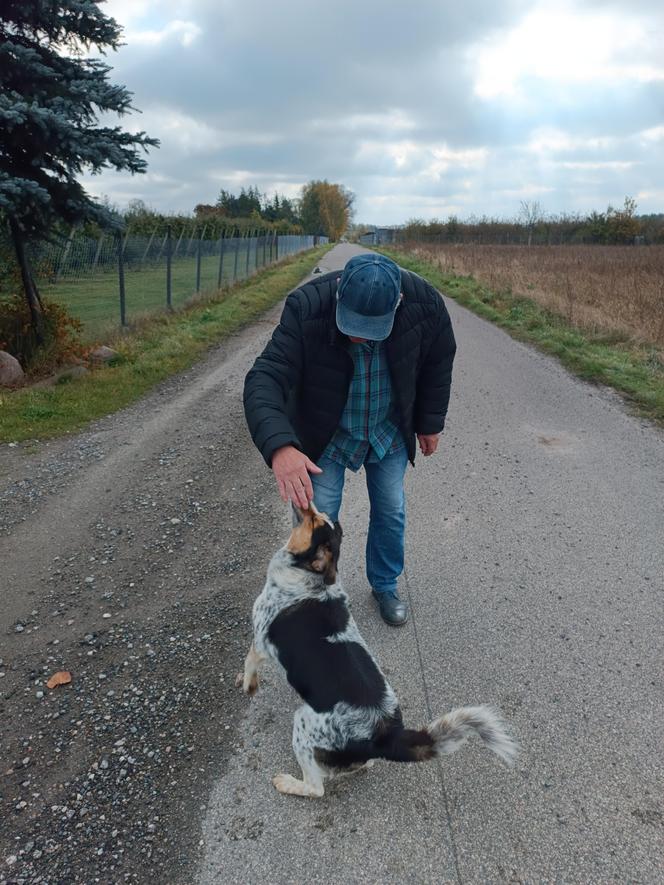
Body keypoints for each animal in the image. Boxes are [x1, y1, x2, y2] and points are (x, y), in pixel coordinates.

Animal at [236, 500, 516, 796]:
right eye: (322, 519)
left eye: (314, 521)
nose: (308, 501)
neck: (309, 576)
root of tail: (388, 735)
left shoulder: (260, 641)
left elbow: (249, 661)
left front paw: (248, 685)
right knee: (360, 765)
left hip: (302, 723)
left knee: (316, 787)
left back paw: (288, 782)